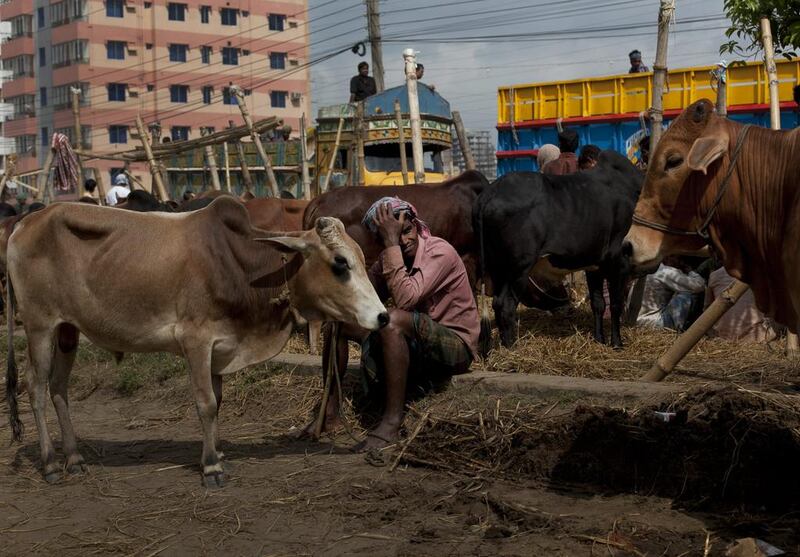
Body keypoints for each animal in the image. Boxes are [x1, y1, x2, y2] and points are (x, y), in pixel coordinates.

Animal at [476, 149, 644, 348]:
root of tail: (490, 192)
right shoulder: (619, 261)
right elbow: (616, 304)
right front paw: (617, 343)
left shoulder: (593, 265)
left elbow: (598, 303)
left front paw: (599, 339)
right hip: (518, 268)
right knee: (505, 305)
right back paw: (511, 347)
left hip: (497, 268)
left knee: (496, 303)